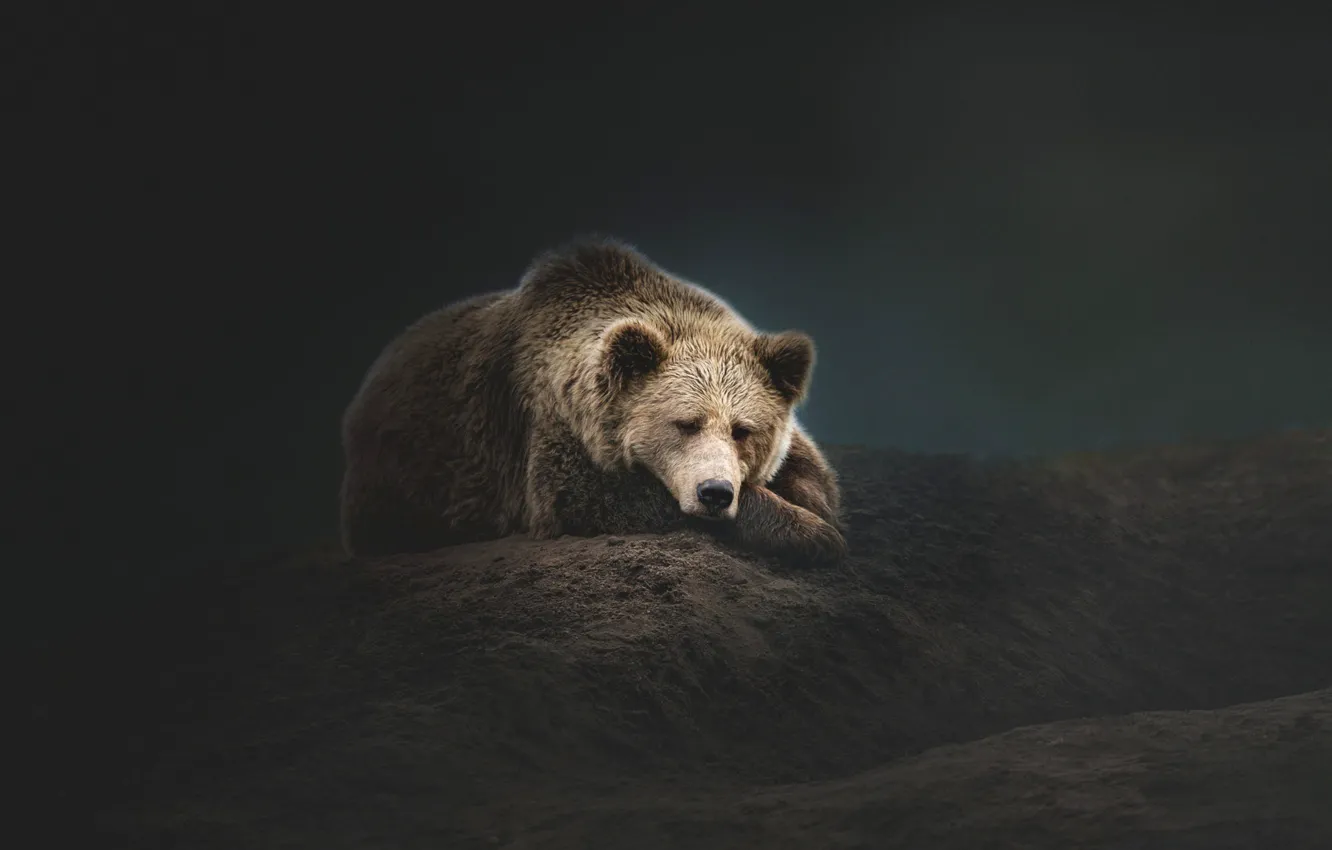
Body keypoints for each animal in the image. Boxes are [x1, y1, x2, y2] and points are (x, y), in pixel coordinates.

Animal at [338, 237, 846, 564]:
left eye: (743, 431)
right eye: (685, 423)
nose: (715, 493)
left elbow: (809, 467)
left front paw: (814, 506)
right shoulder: (550, 426)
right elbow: (591, 498)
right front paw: (812, 534)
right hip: (401, 478)